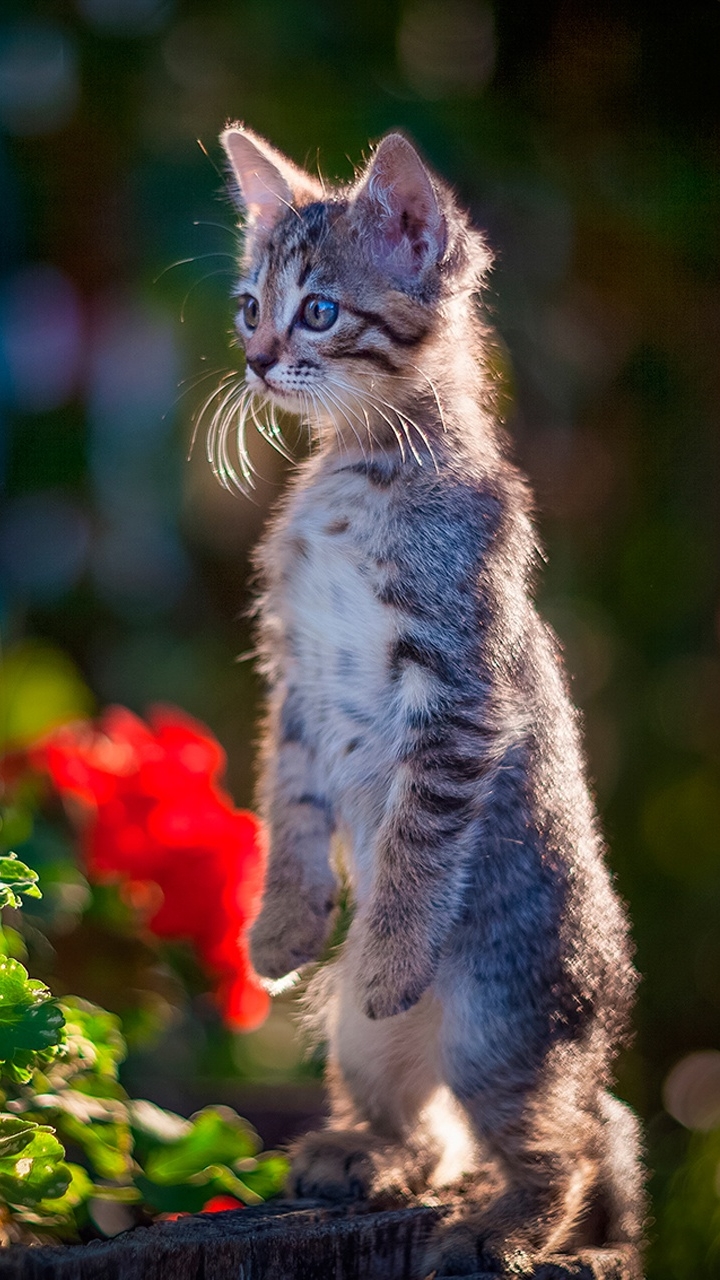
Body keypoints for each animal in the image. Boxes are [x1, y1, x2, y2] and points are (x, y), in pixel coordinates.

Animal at [215, 124, 640, 1274]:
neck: (359, 472)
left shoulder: (459, 690)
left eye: (320, 310)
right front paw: (282, 925)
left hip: (501, 1026)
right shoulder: (295, 676)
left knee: (574, 1139)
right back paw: (365, 1152)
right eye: (249, 303)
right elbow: (289, 800)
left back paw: (502, 1229)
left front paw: (395, 949)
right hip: (366, 1046)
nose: (259, 358)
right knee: (431, 1123)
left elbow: (414, 840)